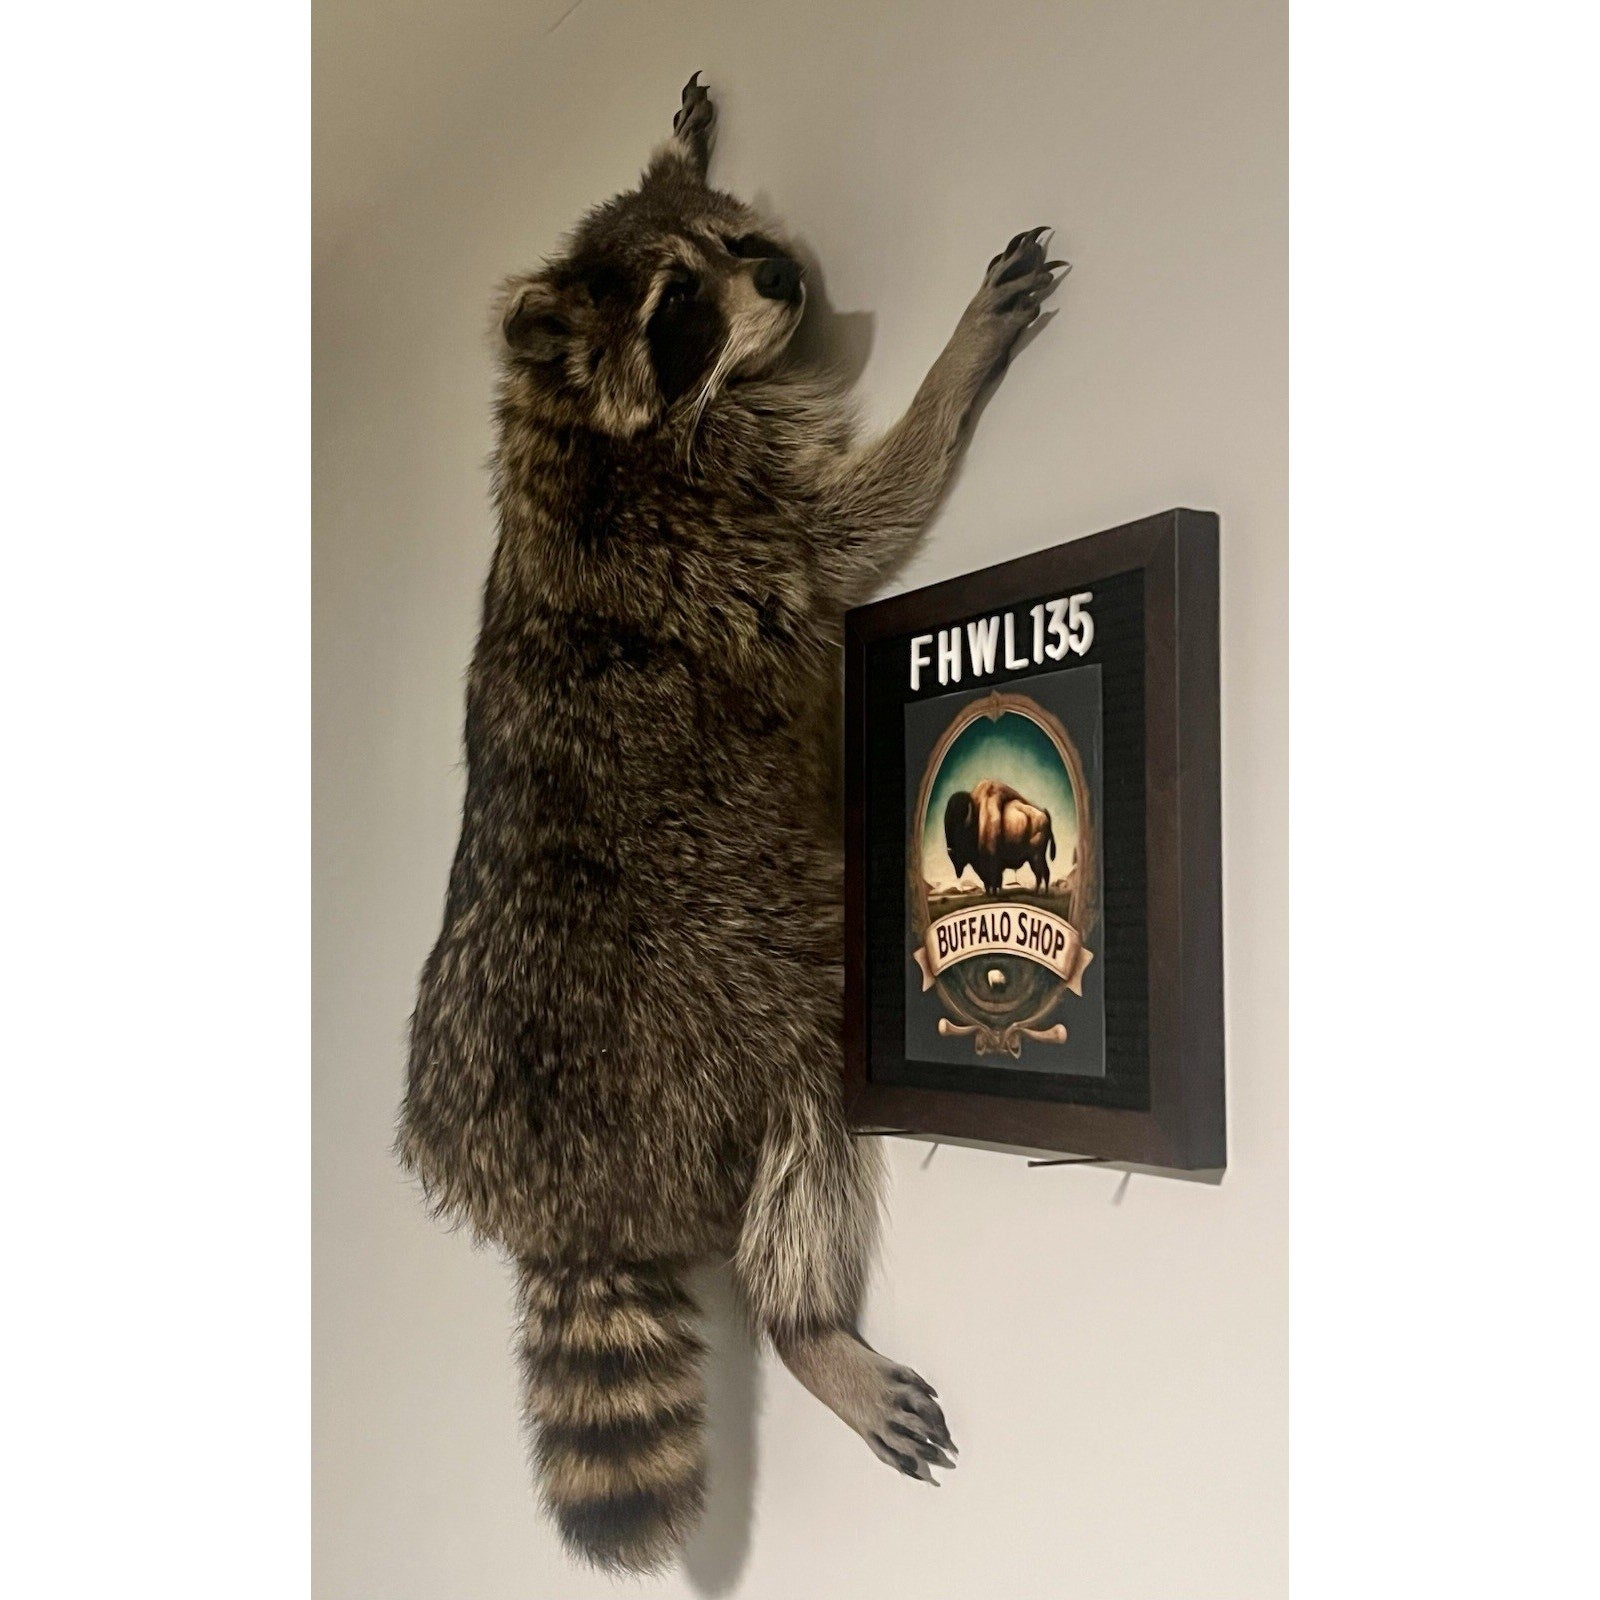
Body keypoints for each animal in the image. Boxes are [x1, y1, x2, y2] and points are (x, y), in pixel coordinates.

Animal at [399, 73, 1065, 1573]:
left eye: (732, 236)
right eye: (675, 305)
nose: (783, 277)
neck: (578, 416)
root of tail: (559, 1201)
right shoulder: (712, 518)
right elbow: (857, 526)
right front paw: (954, 366)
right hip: (721, 981)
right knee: (813, 1093)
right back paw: (805, 1320)